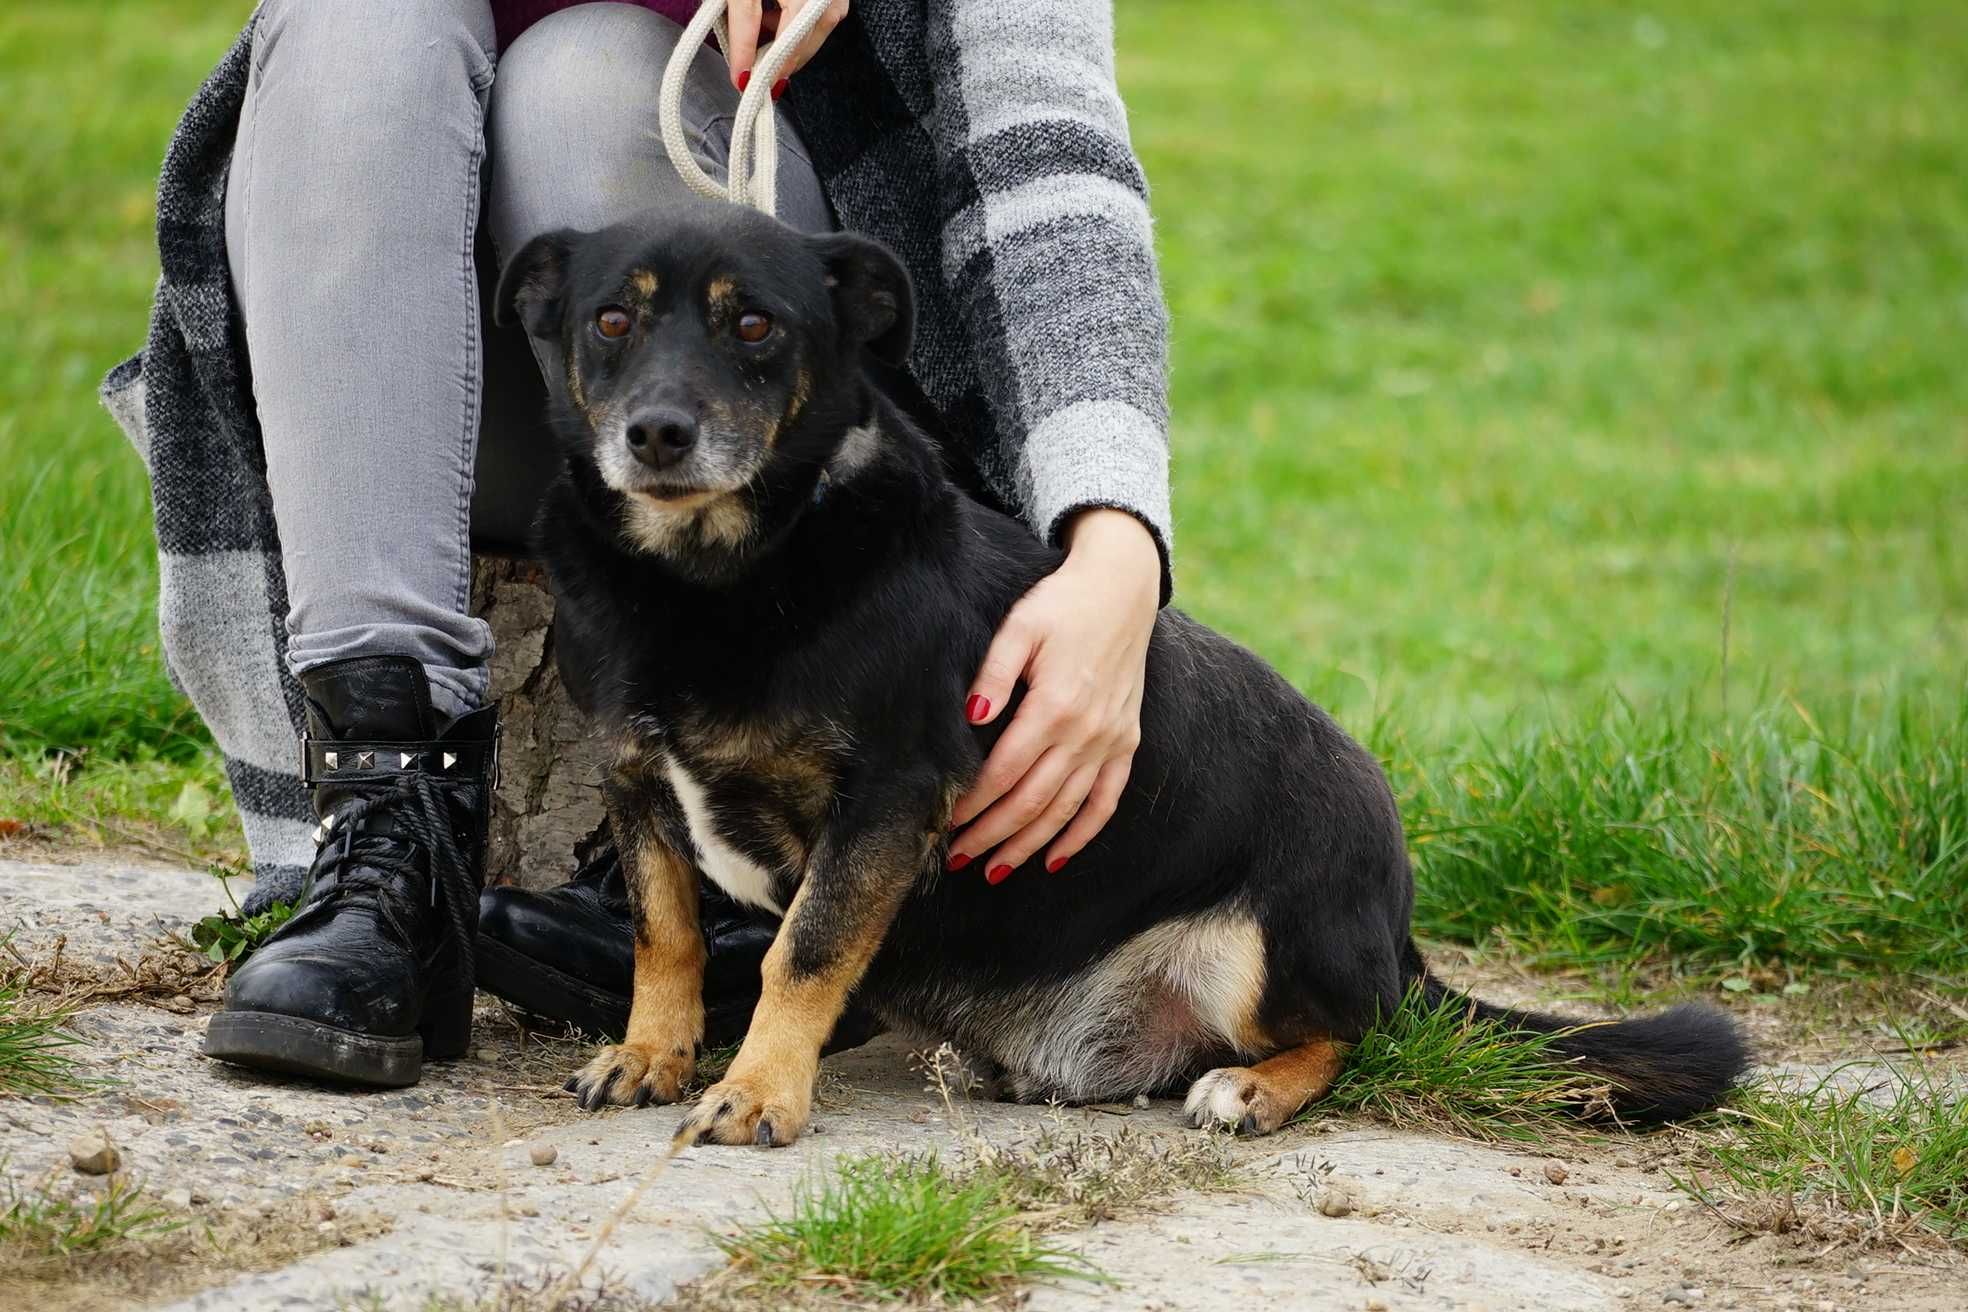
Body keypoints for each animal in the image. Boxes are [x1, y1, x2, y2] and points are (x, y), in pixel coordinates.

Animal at [499, 197, 1747, 1148]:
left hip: (1267, 941)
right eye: (611, 320)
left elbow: (798, 957)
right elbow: (666, 932)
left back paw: (1253, 1087)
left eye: (754, 325)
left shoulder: (886, 801)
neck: (724, 573)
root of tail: (1398, 933)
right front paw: (650, 1051)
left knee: (1360, 1032)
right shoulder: (635, 779)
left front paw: (757, 1090)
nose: (658, 434)